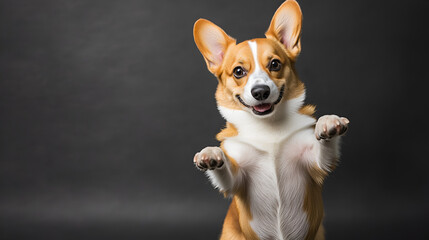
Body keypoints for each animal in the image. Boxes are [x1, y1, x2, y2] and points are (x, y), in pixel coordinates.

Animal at [192, 0, 350, 239]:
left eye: (275, 64)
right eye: (238, 71)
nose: (260, 92)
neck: (268, 126)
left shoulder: (315, 164)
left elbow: (324, 148)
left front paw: (328, 122)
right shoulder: (237, 180)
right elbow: (225, 171)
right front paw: (210, 153)